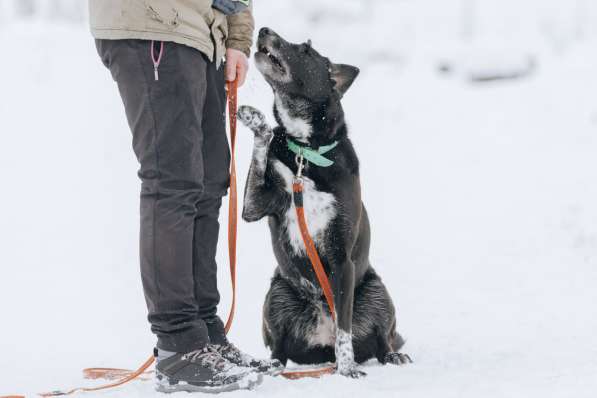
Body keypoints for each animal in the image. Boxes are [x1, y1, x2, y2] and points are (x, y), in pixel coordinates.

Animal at [237, 27, 410, 376]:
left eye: (305, 50)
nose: (264, 30)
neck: (307, 151)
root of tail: (321, 346)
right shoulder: (253, 205)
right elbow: (264, 143)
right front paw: (254, 119)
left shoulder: (341, 258)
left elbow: (344, 329)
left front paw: (347, 370)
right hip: (277, 293)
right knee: (279, 347)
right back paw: (270, 365)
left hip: (377, 292)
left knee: (381, 340)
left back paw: (391, 357)